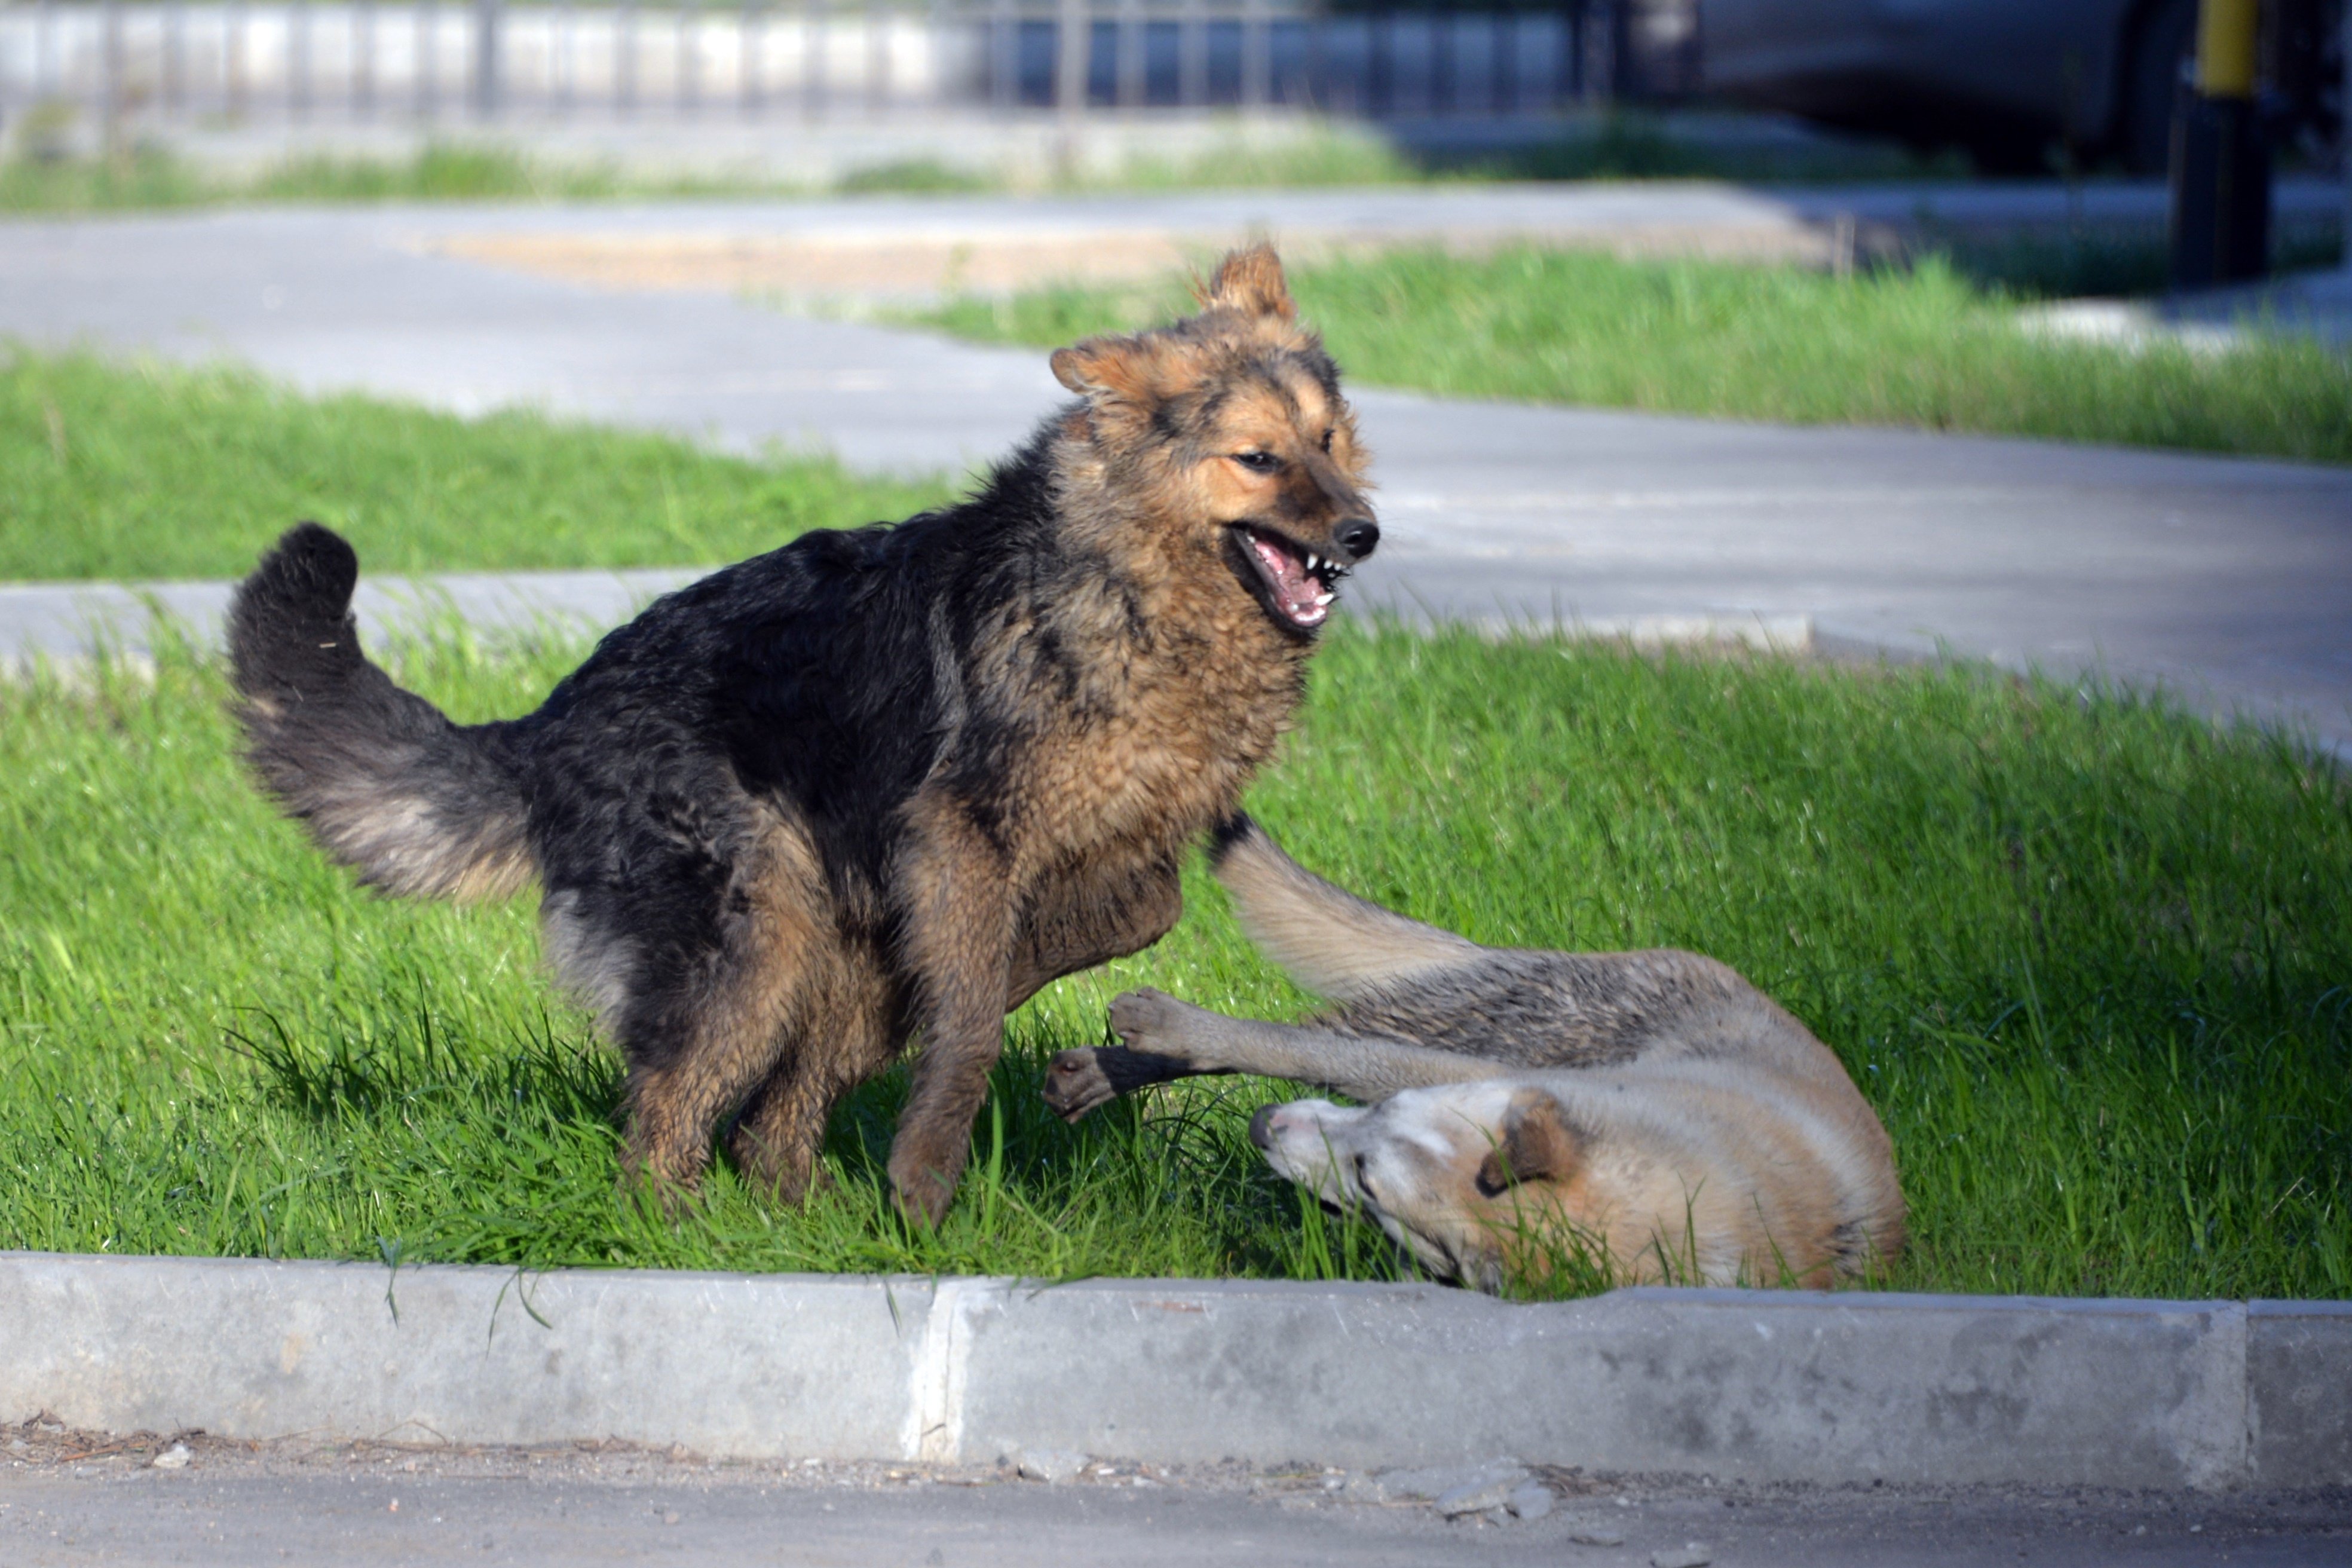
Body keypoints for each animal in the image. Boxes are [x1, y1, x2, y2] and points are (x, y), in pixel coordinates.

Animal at [226, 248, 1373, 1222]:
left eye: (1328, 440)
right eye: (1258, 458)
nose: (1364, 533)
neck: (1128, 578)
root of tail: (551, 721)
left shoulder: (1118, 842)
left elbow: (1132, 915)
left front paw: (1023, 965)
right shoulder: (958, 834)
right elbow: (967, 1025)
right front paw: (927, 1168)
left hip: (818, 946)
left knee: (770, 1122)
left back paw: (797, 1207)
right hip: (752, 943)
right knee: (666, 1120)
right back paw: (679, 1231)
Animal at [1058, 818, 1900, 1297]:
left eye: (1370, 1183)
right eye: (1385, 1125)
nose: (1264, 1125)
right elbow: (1292, 1049)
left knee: (1318, 1039)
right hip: (1502, 1029)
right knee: (1314, 1034)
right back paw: (1137, 1054)